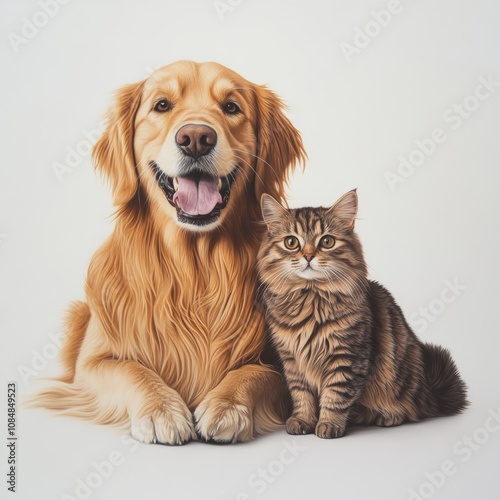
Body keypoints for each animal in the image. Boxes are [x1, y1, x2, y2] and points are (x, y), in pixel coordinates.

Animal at [258, 190, 468, 438]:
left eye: (326, 241)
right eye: (291, 242)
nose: (308, 256)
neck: (311, 298)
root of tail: (430, 391)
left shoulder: (347, 358)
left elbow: (335, 396)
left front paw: (329, 425)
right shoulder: (293, 361)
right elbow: (302, 396)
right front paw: (302, 420)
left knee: (408, 411)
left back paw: (384, 417)